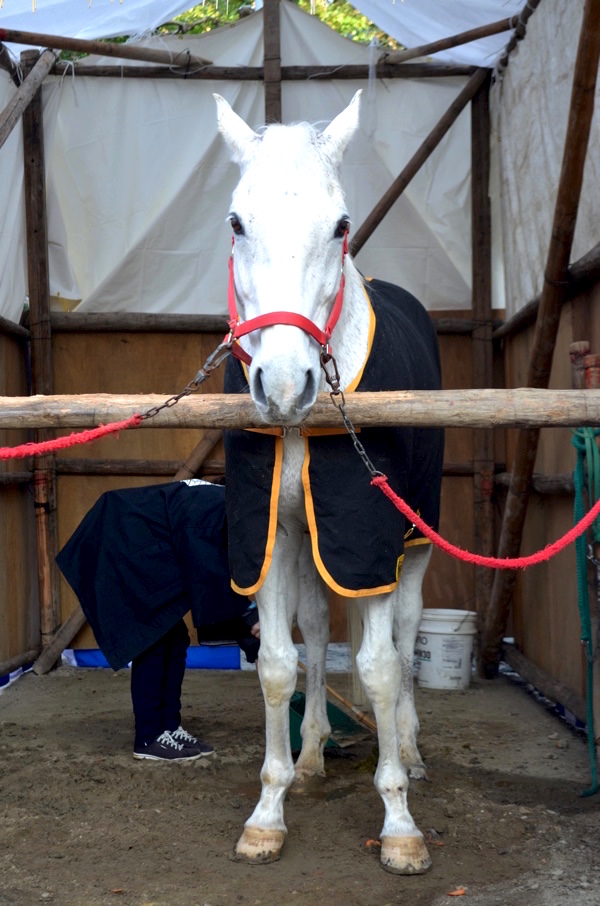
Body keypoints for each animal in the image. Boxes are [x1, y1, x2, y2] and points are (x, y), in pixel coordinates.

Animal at [213, 88, 442, 872]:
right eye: (236, 221)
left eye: (340, 224)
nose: (285, 386)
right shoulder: (269, 535)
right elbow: (281, 662)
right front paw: (268, 811)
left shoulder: (370, 539)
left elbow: (378, 666)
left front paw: (399, 821)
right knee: (316, 633)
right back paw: (313, 753)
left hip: (414, 541)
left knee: (404, 637)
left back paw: (409, 747)